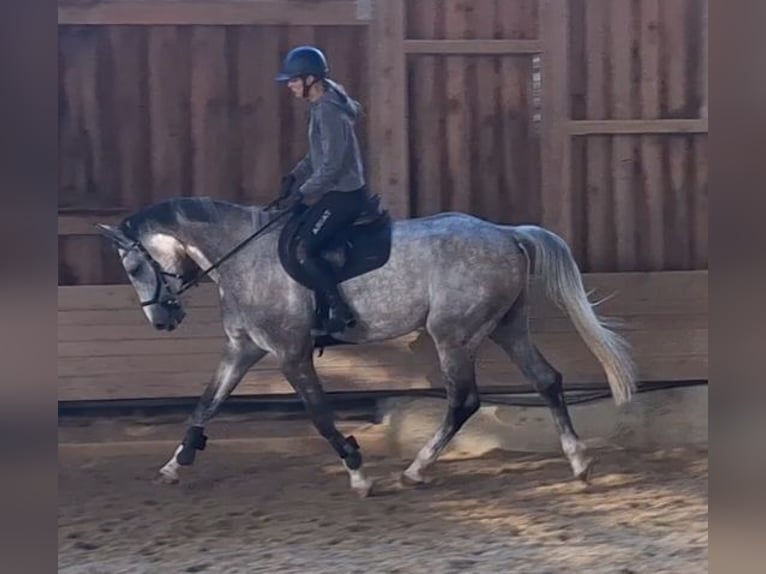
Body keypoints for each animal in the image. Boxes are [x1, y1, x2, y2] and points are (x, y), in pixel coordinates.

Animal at [94, 198, 636, 500]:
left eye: (134, 266)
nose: (163, 320)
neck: (242, 256)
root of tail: (506, 233)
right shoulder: (243, 349)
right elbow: (206, 404)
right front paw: (173, 465)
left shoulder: (290, 352)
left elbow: (320, 415)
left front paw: (358, 474)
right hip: (506, 328)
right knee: (546, 380)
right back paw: (579, 463)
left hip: (454, 334)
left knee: (464, 401)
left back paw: (416, 471)